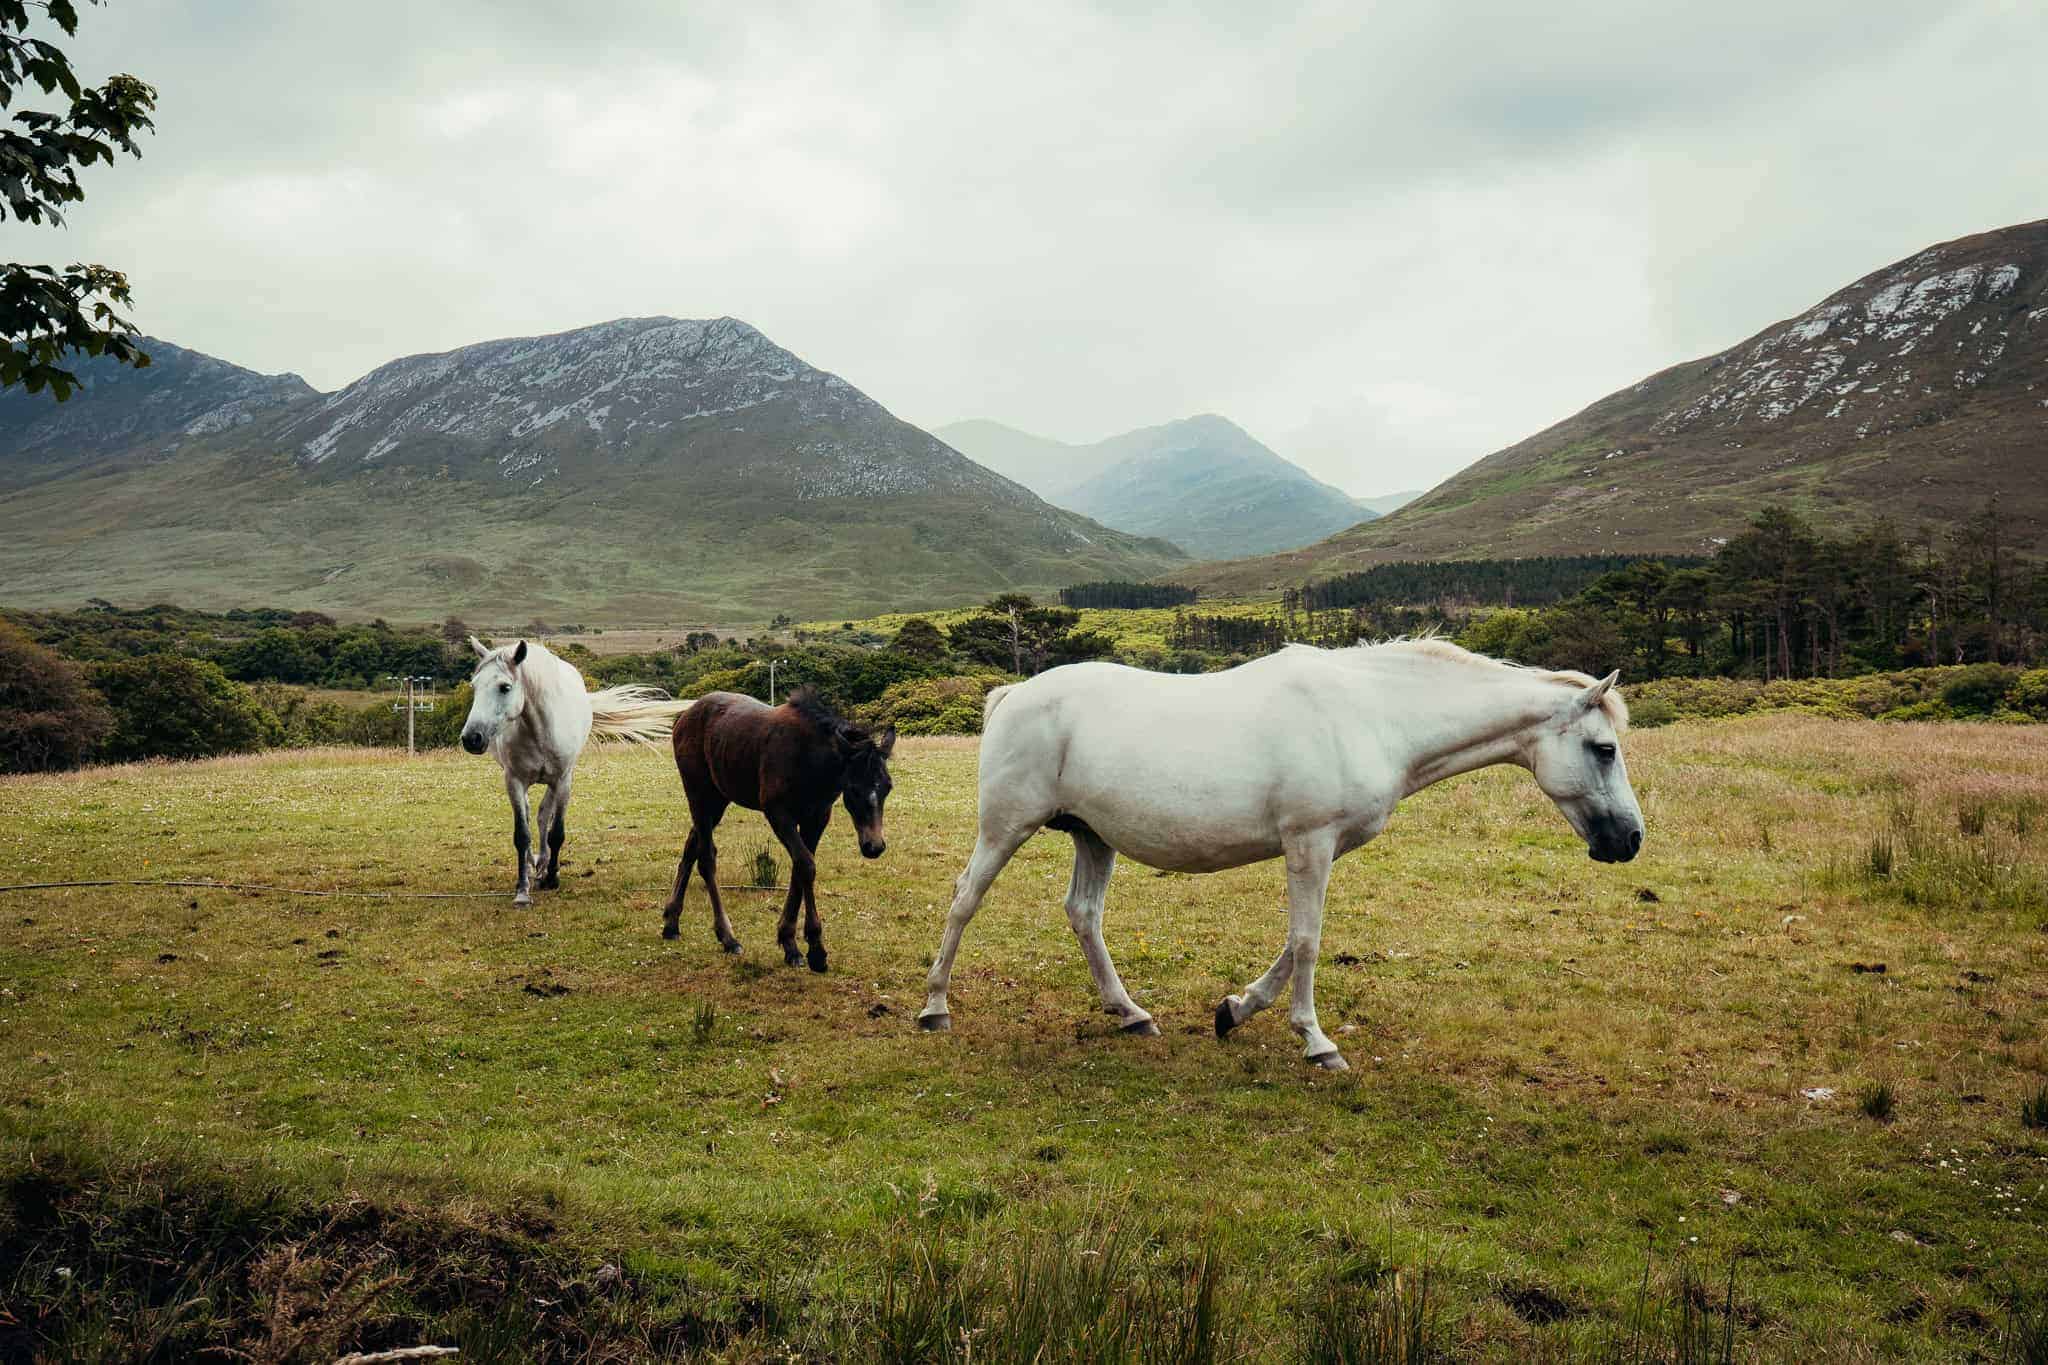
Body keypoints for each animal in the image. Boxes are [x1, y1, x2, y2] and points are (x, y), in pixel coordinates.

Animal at [459, 637, 690, 905]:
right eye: (474, 686)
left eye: (504, 687)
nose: (471, 738)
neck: (538, 729)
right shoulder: (513, 780)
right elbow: (522, 834)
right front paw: (522, 891)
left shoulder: (563, 780)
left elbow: (556, 832)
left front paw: (551, 878)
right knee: (532, 814)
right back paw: (534, 866)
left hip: (554, 781)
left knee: (543, 816)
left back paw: (544, 866)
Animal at [660, 687, 896, 972]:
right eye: (853, 788)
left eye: (887, 786)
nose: (874, 846)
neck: (809, 759)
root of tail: (684, 717)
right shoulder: (778, 813)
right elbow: (806, 865)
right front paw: (815, 950)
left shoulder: (817, 817)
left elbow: (801, 867)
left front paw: (790, 943)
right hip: (699, 794)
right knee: (706, 859)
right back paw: (728, 937)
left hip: (717, 799)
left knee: (691, 847)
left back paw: (671, 922)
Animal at [915, 638, 1645, 1071]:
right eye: (1604, 749)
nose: (1629, 840)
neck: (1372, 714)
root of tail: (1016, 694)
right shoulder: (1309, 843)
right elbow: (1308, 941)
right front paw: (1317, 1042)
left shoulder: (1321, 848)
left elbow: (1293, 944)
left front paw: (1235, 1009)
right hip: (1007, 827)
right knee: (964, 900)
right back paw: (934, 1009)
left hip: (1093, 836)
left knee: (1083, 914)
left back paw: (1132, 1014)